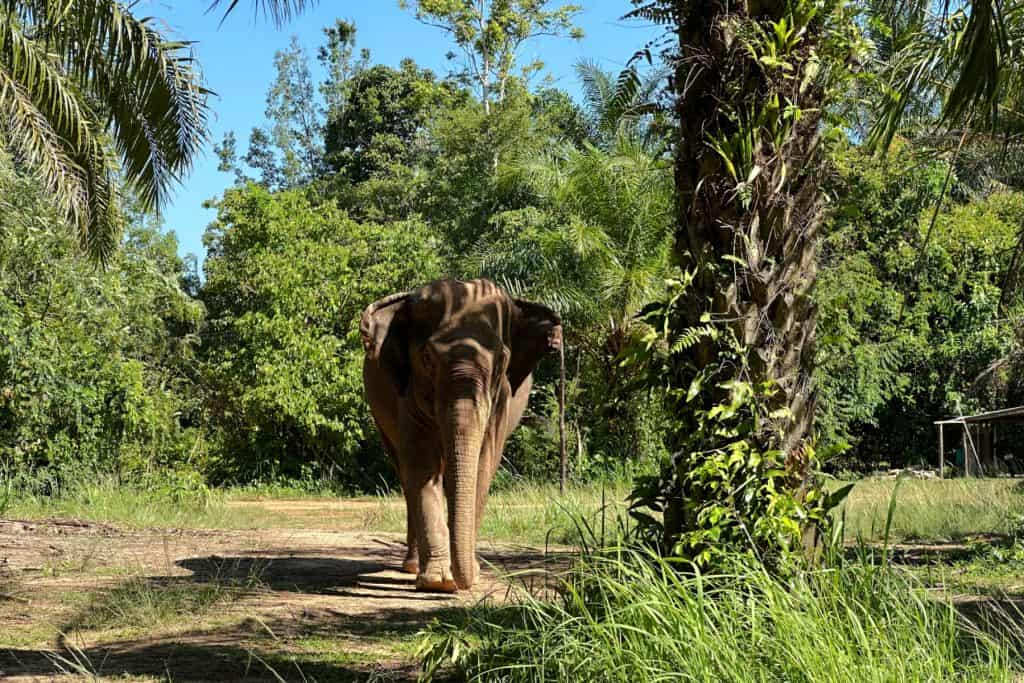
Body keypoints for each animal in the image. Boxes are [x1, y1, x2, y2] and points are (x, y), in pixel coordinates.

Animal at [360, 278, 562, 592]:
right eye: (428, 358)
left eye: (502, 360)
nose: (466, 579)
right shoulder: (407, 393)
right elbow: (421, 464)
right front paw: (438, 582)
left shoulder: (500, 401)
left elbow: (483, 464)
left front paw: (465, 575)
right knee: (404, 473)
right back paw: (412, 566)